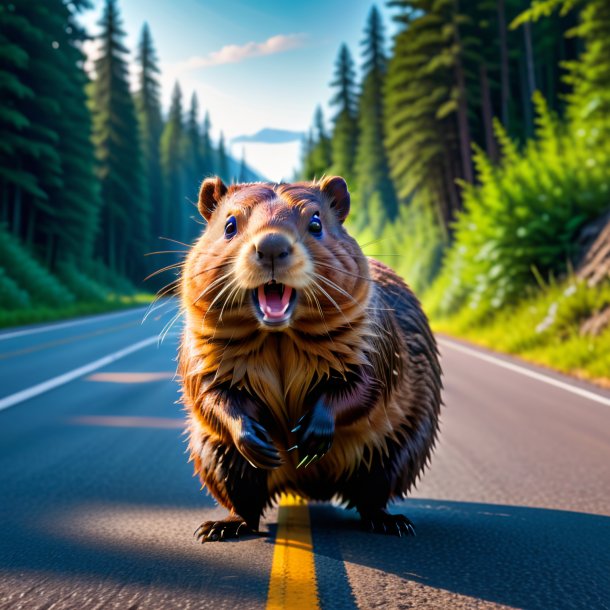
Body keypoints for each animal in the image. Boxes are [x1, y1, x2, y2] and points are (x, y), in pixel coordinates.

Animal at [178, 173, 440, 540]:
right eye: (229, 225)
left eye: (316, 223)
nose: (272, 246)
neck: (279, 338)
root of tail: (307, 489)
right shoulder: (202, 348)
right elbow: (210, 392)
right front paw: (257, 441)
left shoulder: (374, 337)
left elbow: (365, 386)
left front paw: (309, 436)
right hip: (214, 455)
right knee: (244, 501)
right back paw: (221, 527)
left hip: (399, 447)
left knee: (372, 493)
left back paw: (391, 522)